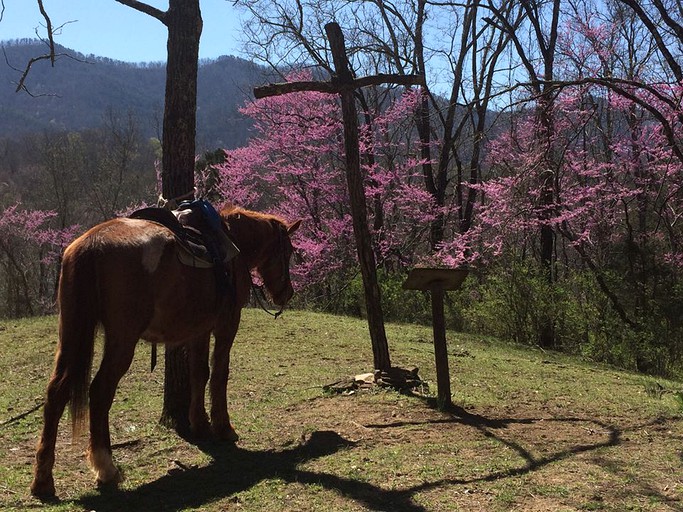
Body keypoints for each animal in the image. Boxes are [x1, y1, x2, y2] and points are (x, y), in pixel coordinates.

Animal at [29, 204, 302, 496]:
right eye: (288, 252)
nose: (287, 293)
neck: (232, 241)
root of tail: (91, 244)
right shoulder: (227, 324)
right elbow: (219, 374)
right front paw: (223, 428)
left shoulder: (199, 329)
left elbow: (199, 373)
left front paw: (200, 424)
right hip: (121, 340)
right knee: (100, 391)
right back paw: (106, 468)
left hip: (71, 334)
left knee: (56, 392)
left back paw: (43, 480)